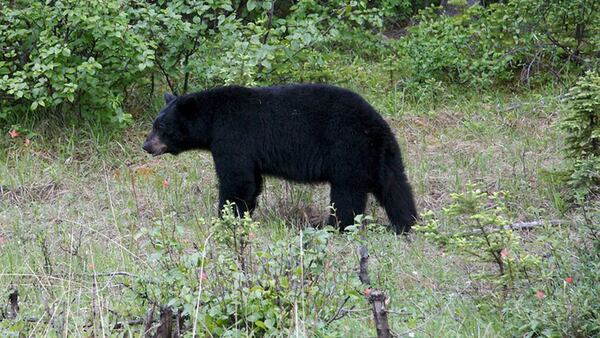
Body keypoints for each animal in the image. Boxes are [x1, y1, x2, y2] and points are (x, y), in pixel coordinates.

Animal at [143, 84, 418, 232]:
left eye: (160, 126)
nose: (146, 145)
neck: (211, 120)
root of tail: (376, 125)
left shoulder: (234, 136)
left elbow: (236, 180)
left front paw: (225, 217)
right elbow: (251, 182)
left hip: (348, 150)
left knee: (347, 195)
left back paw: (335, 227)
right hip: (383, 156)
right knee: (396, 188)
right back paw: (406, 224)